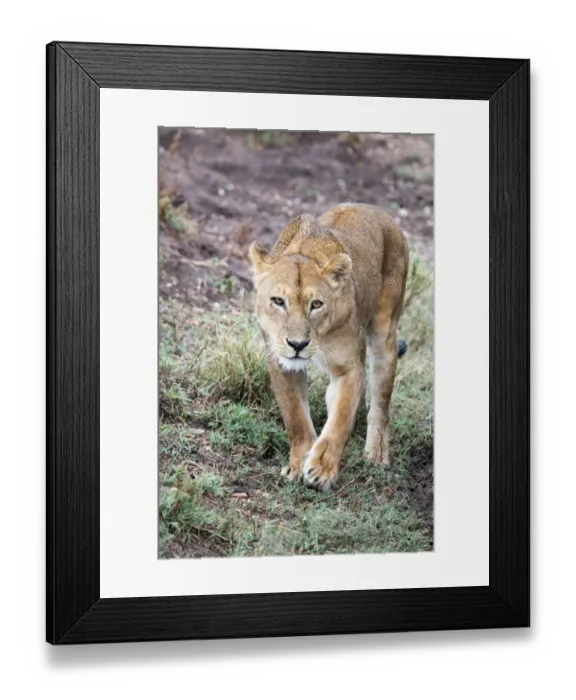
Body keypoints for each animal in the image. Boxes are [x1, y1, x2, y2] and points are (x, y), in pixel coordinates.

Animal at [248, 203, 409, 491]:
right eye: (278, 301)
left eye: (316, 304)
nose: (297, 344)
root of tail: (376, 210)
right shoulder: (279, 362)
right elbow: (296, 417)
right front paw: (298, 463)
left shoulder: (349, 367)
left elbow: (340, 420)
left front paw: (322, 470)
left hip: (385, 331)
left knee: (381, 399)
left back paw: (376, 455)